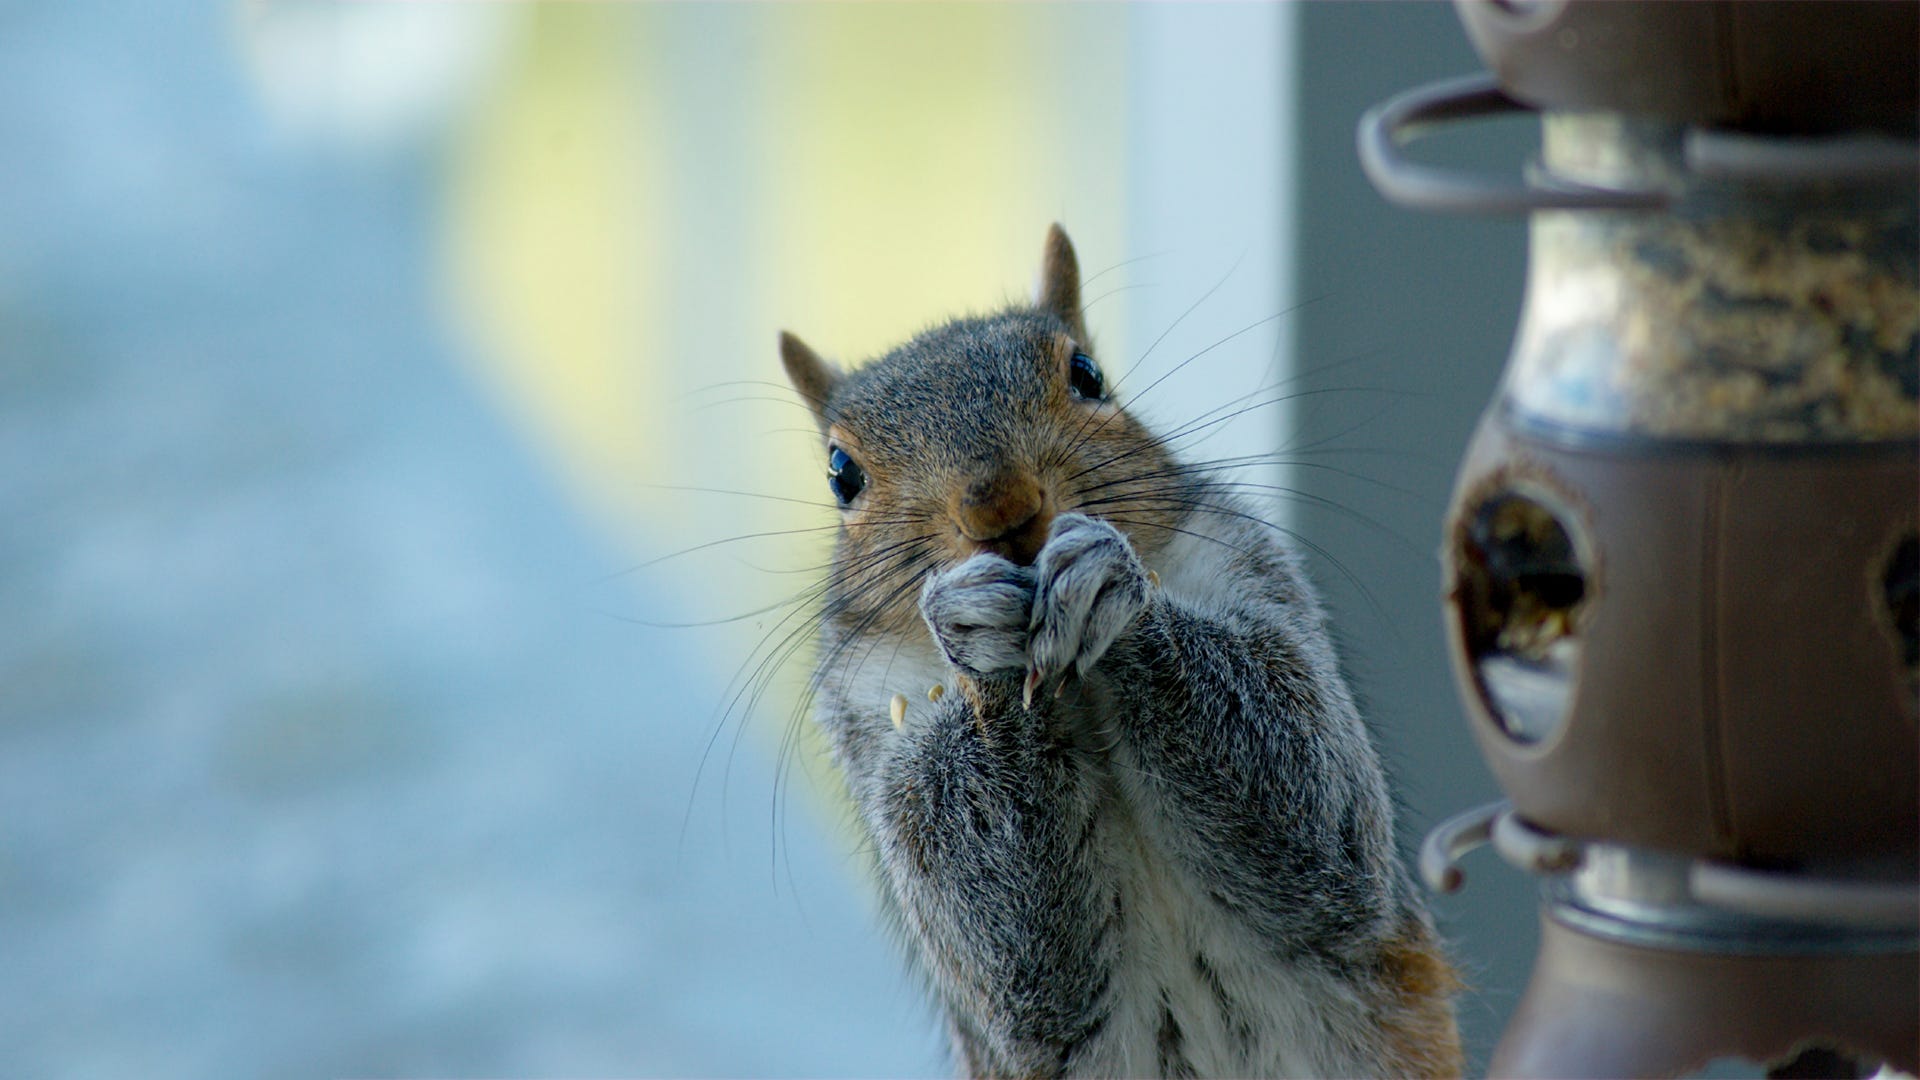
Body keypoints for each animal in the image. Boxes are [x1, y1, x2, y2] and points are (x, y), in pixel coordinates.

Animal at [775, 222, 1451, 1068]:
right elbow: (1014, 963)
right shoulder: (867, 722)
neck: (1076, 685)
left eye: (1088, 376)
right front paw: (975, 636)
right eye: (842, 474)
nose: (1000, 504)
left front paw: (1110, 588)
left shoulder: (1257, 574)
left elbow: (1322, 825)